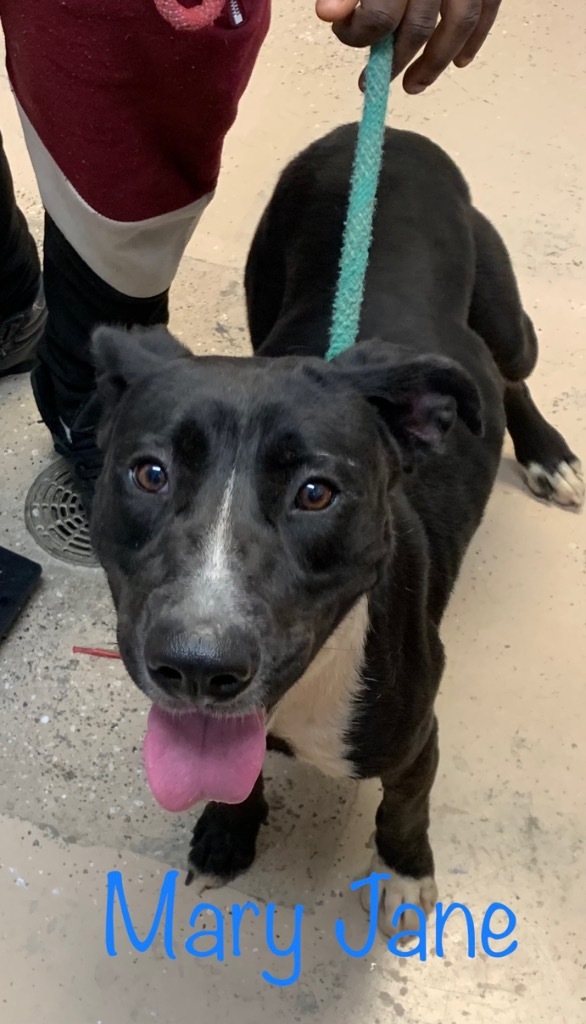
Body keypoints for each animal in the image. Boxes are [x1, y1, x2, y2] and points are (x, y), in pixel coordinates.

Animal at [91, 125, 581, 937]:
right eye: (150, 474)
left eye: (316, 494)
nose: (197, 666)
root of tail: (382, 131)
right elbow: (234, 780)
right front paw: (227, 833)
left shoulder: (417, 739)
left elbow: (404, 809)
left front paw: (404, 874)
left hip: (508, 321)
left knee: (511, 370)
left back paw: (548, 453)